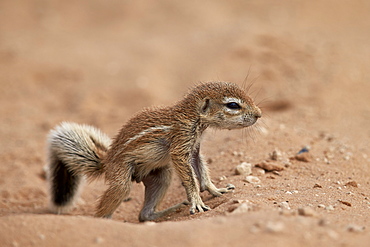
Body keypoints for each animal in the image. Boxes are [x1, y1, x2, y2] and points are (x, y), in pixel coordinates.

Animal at [46, 81, 262, 222]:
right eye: (233, 105)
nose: (259, 114)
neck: (191, 117)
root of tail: (106, 162)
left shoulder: (194, 149)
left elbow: (201, 170)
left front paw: (216, 190)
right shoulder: (180, 145)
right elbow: (190, 178)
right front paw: (196, 201)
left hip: (161, 176)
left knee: (144, 215)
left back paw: (167, 211)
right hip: (121, 179)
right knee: (109, 204)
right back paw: (102, 221)